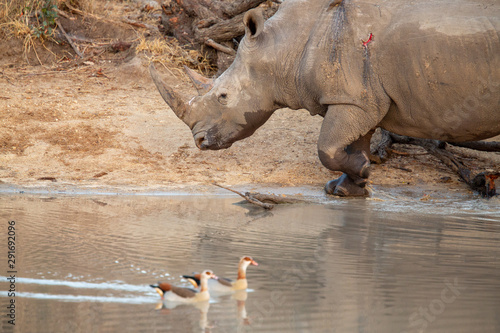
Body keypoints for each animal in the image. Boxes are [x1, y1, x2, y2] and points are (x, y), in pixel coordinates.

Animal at [149, 0, 500, 196]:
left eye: (223, 96)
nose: (199, 141)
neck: (284, 44)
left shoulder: (352, 98)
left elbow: (327, 147)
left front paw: (364, 172)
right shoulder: (358, 97)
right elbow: (353, 141)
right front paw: (348, 187)